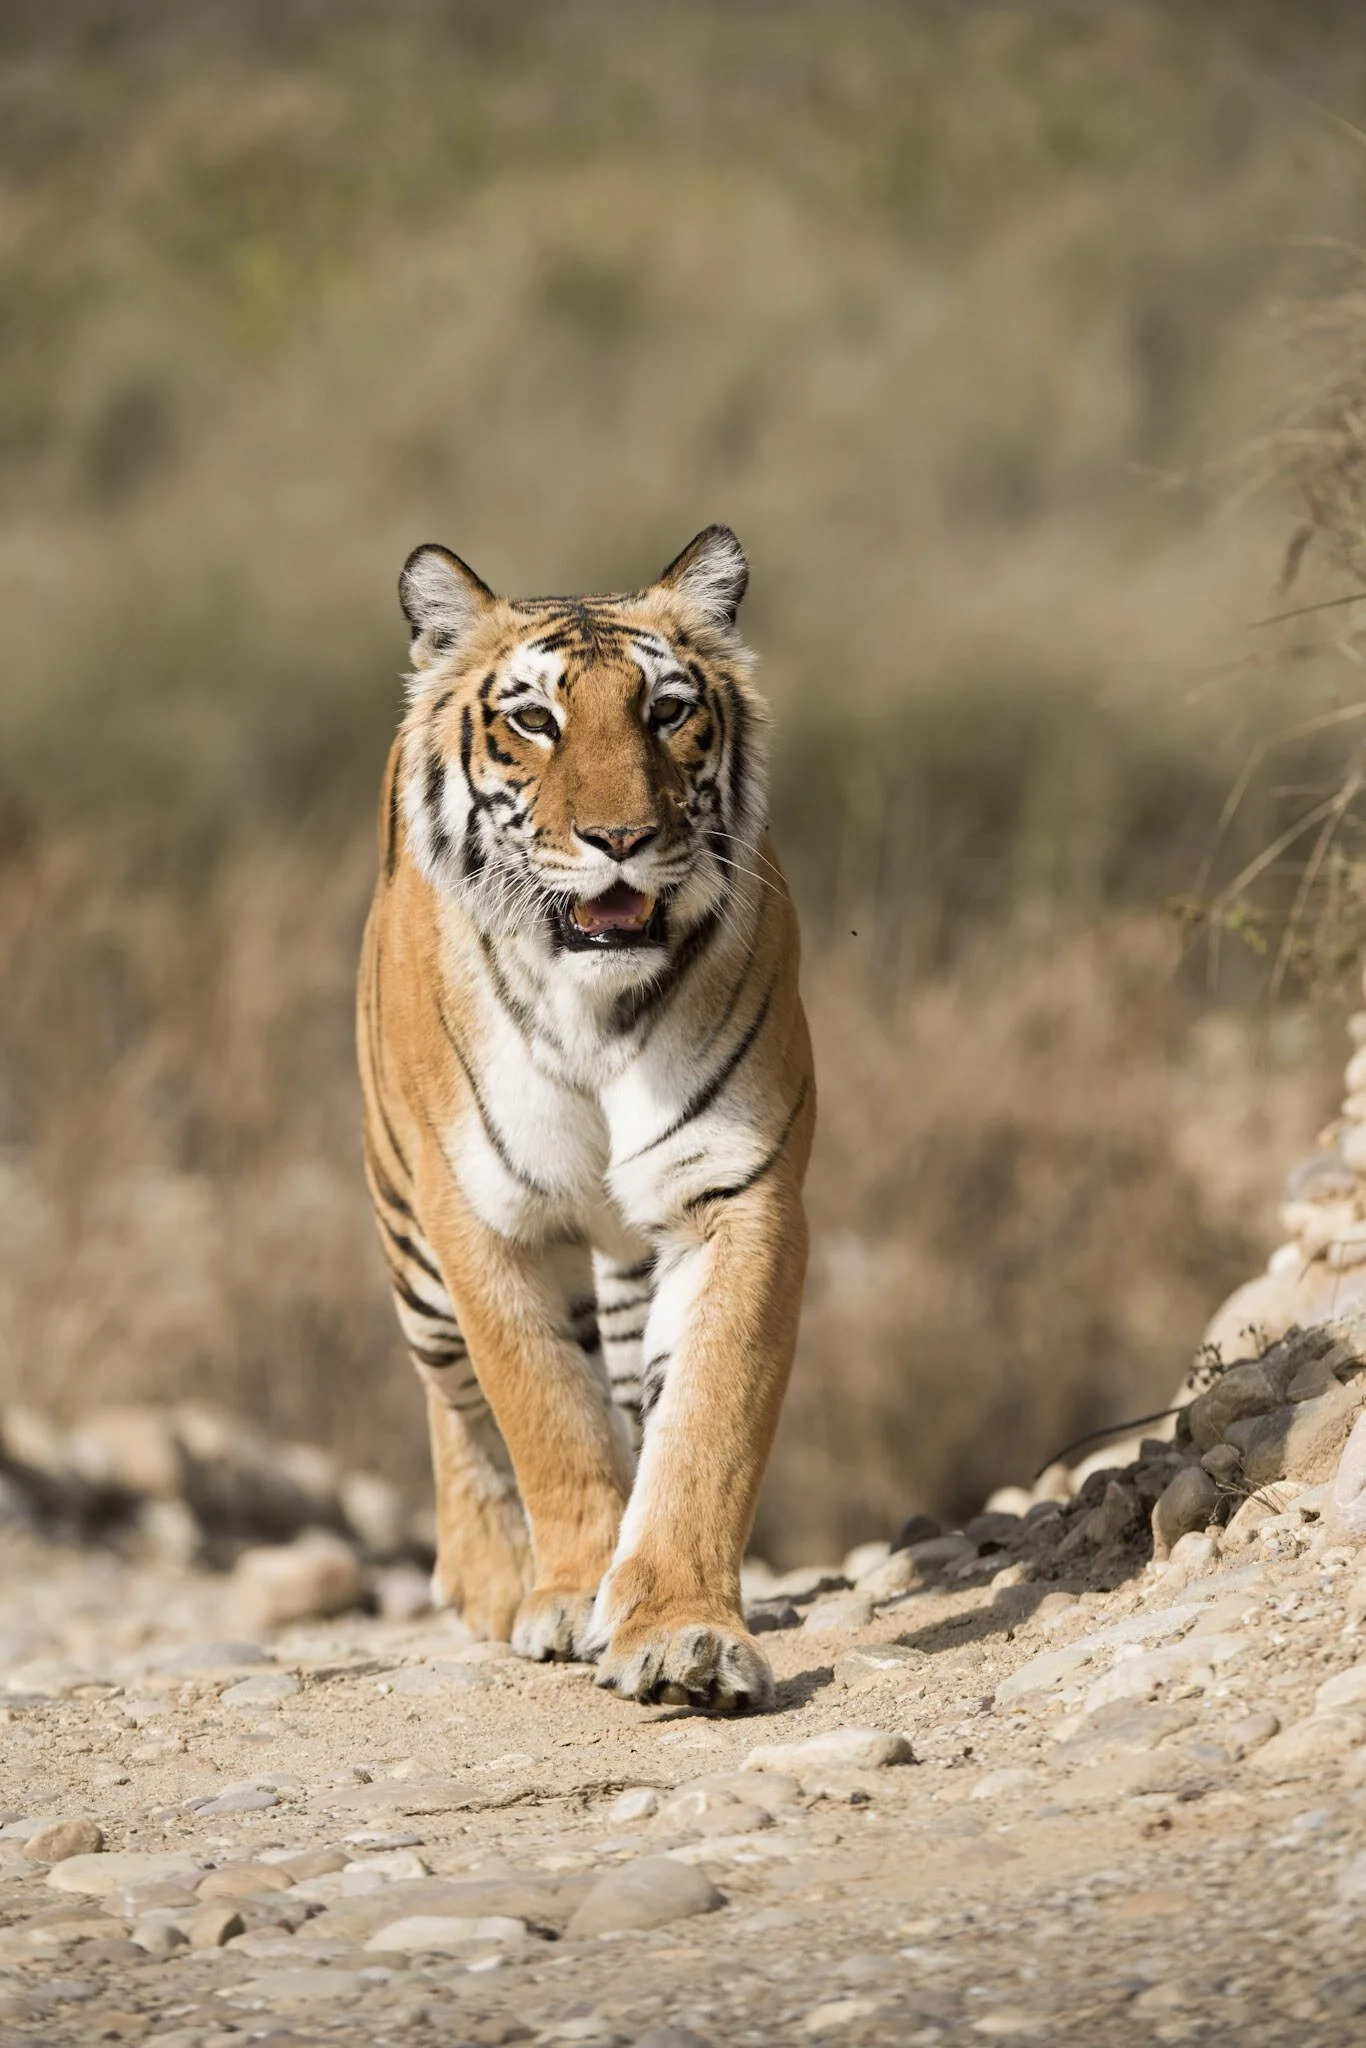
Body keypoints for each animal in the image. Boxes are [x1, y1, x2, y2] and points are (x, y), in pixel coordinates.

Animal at [356, 525, 815, 1711]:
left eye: (666, 710)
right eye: (533, 719)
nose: (620, 836)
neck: (595, 1011)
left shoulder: (732, 1194)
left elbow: (705, 1422)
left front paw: (681, 1631)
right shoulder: (485, 1220)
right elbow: (544, 1415)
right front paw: (565, 1598)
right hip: (413, 1255)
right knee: (453, 1402)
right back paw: (489, 1580)